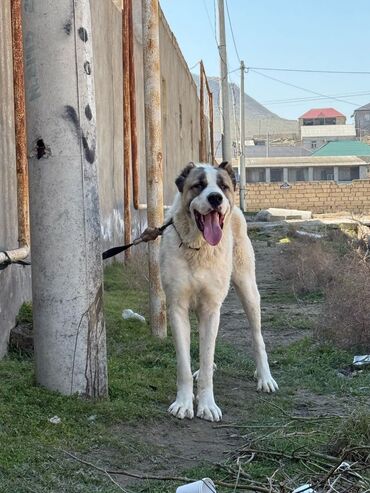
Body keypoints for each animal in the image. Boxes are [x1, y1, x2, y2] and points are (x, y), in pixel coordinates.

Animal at [159, 160, 278, 420]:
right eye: (199, 185)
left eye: (223, 186)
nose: (215, 198)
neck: (197, 247)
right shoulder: (177, 307)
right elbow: (185, 363)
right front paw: (183, 403)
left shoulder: (211, 308)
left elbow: (207, 357)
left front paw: (207, 405)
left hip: (248, 291)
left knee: (257, 338)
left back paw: (265, 378)